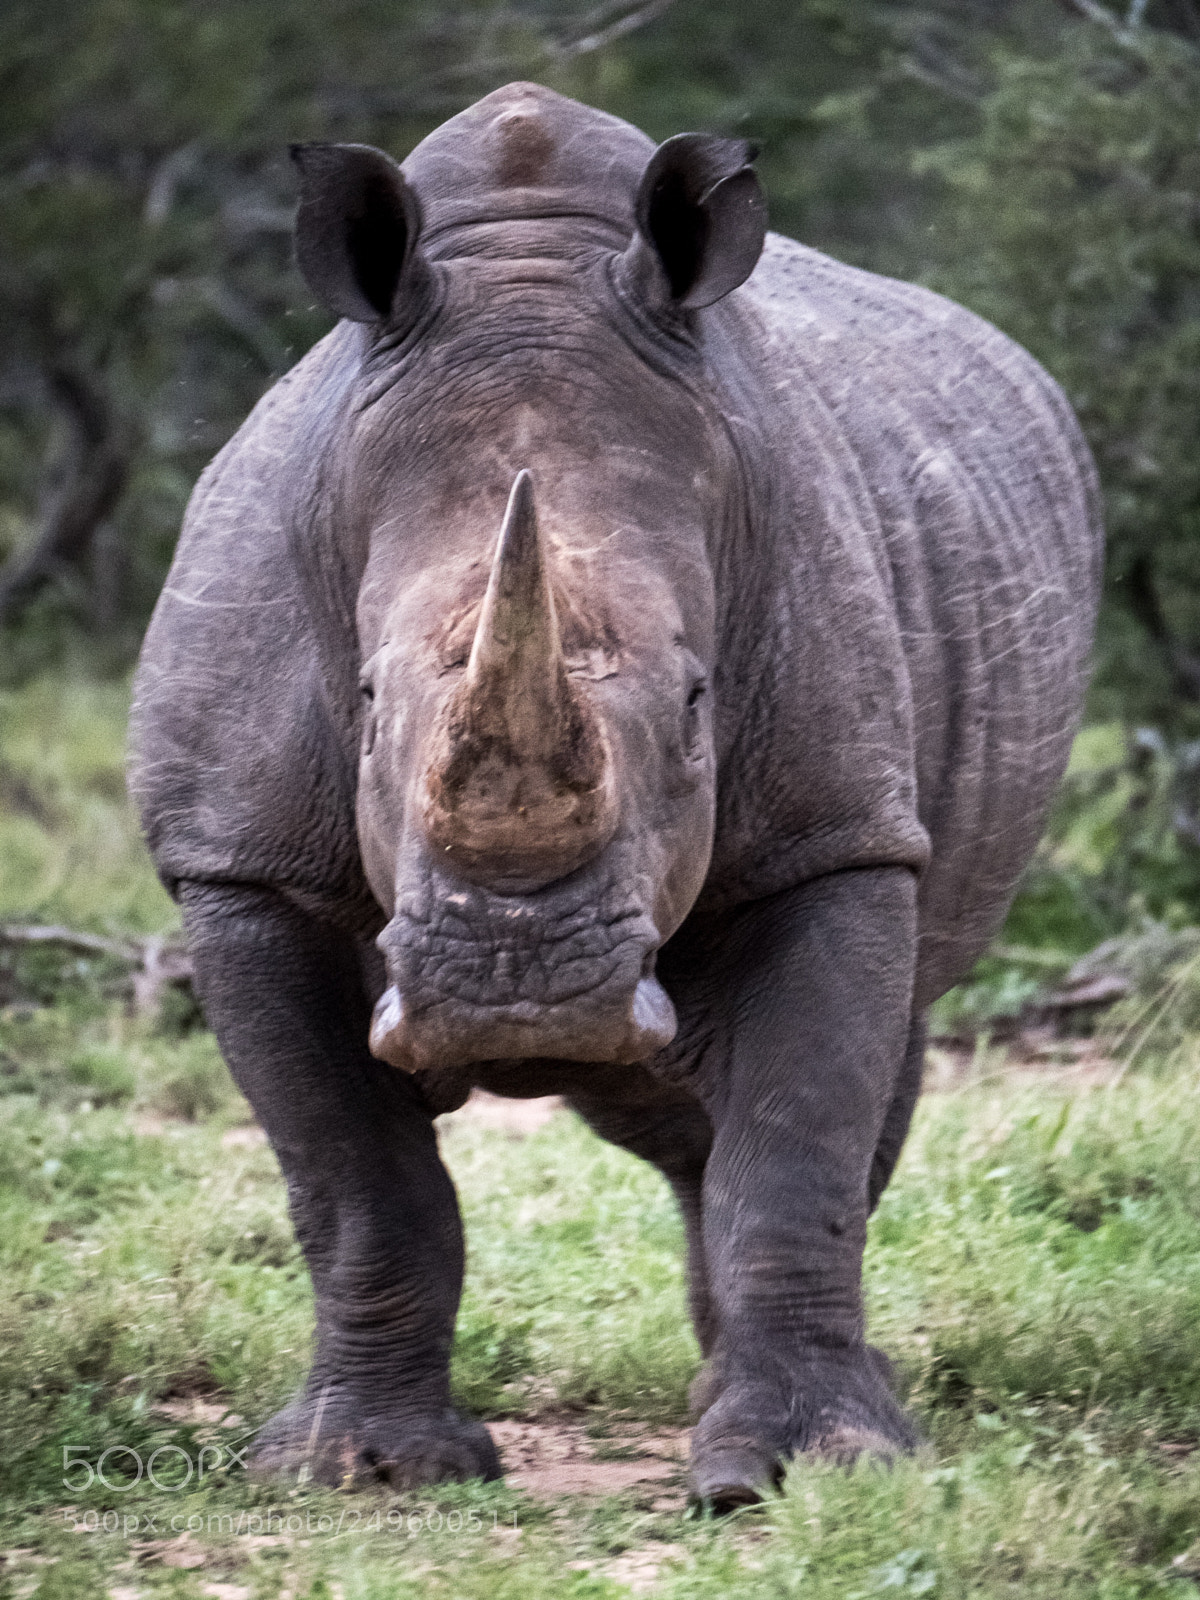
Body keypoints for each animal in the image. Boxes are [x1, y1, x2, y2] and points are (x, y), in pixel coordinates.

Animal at [130, 82, 1102, 1507]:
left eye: (699, 703)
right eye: (362, 703)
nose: (519, 990)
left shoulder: (835, 834)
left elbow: (796, 1139)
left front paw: (806, 1468)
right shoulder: (239, 861)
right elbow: (354, 1175)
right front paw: (359, 1470)